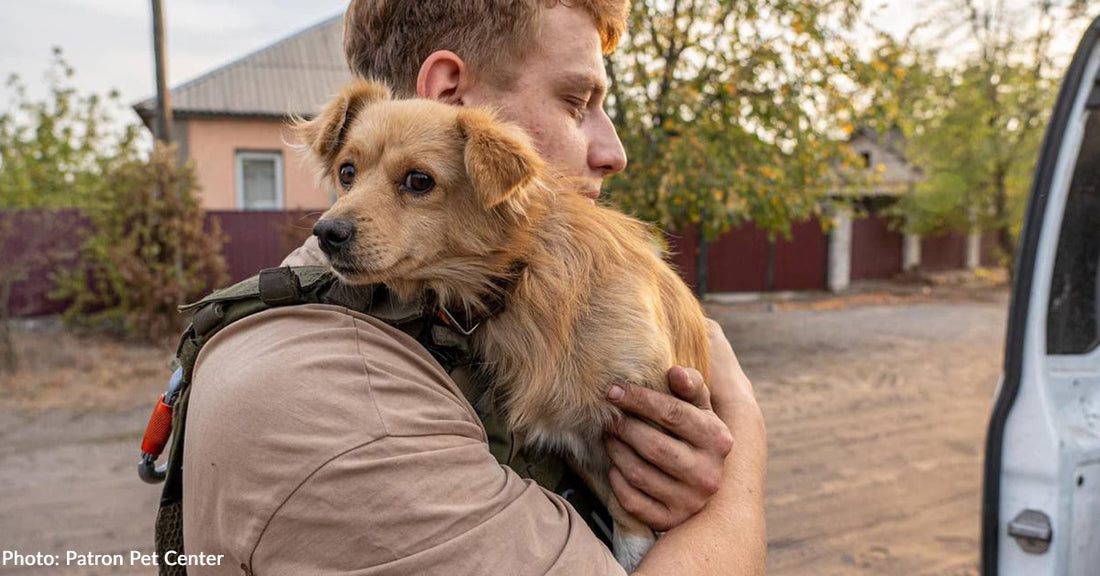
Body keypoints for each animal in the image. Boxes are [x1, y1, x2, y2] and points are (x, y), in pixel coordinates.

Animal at [297, 78, 708, 567]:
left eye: (419, 181)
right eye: (347, 173)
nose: (327, 232)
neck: (519, 275)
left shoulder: (642, 410)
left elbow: (634, 521)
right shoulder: (573, 435)